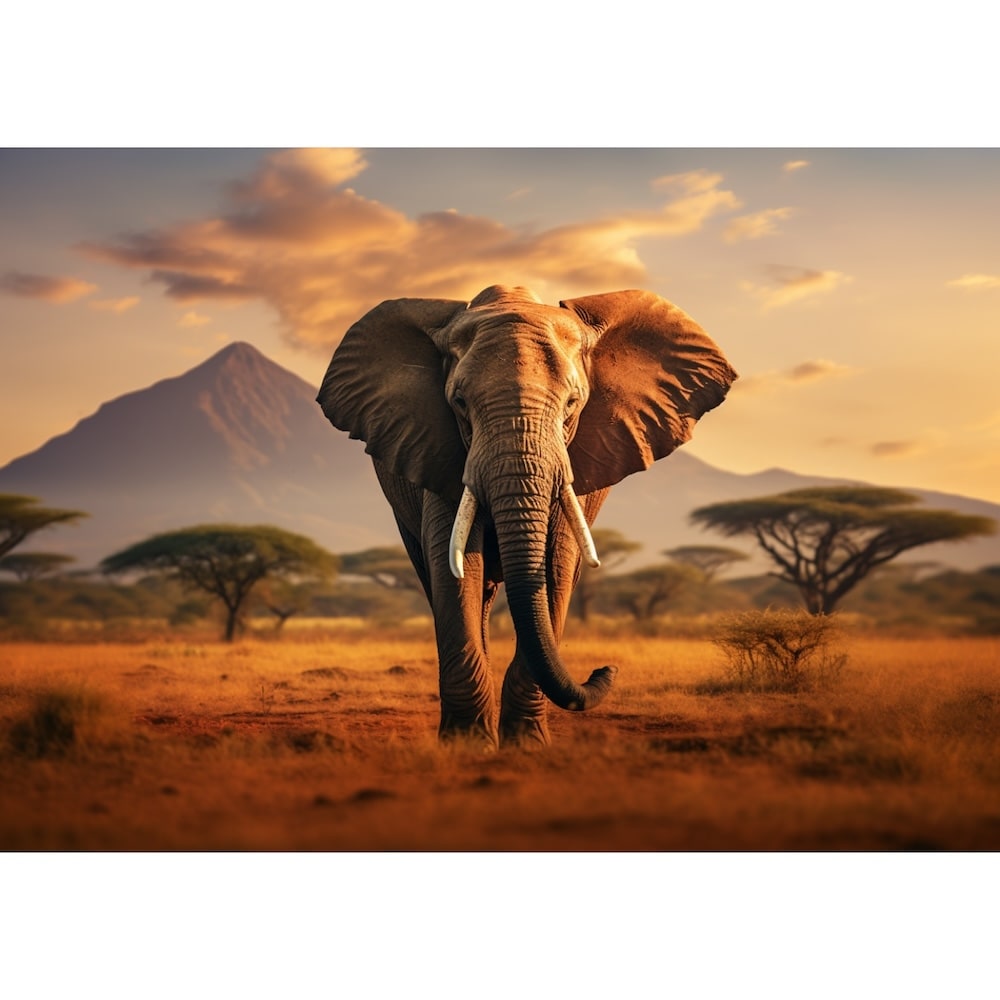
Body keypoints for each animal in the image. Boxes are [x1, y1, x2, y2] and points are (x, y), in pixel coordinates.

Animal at [317, 285, 737, 748]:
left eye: (573, 403)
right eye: (459, 403)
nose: (605, 668)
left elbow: (556, 568)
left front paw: (526, 746)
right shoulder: (438, 451)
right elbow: (455, 570)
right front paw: (468, 746)